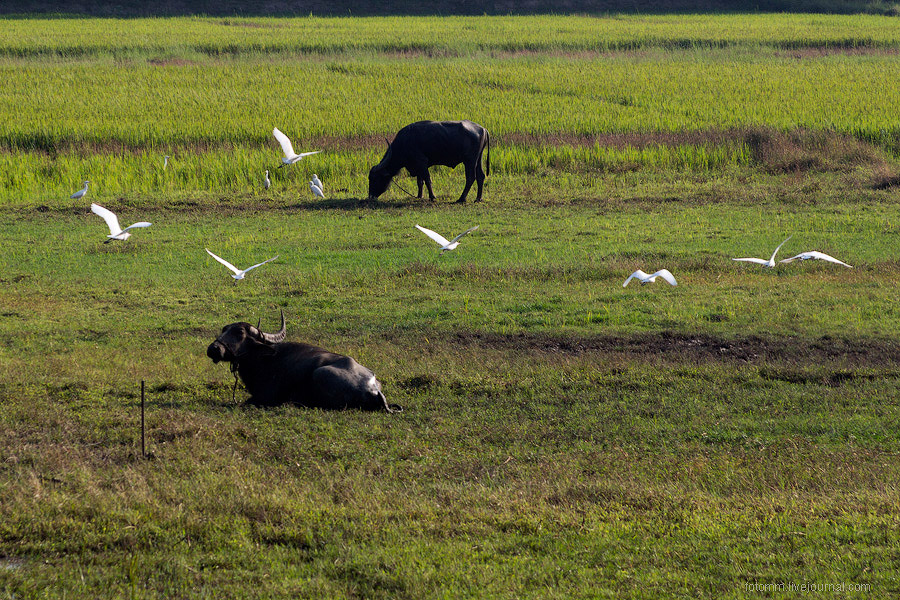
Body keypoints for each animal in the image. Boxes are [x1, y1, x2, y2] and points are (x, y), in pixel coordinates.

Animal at [209, 310, 400, 412]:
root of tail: (374, 389)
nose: (213, 349)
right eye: (224, 329)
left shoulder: (263, 396)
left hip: (320, 373)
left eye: (240, 333)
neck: (263, 359)